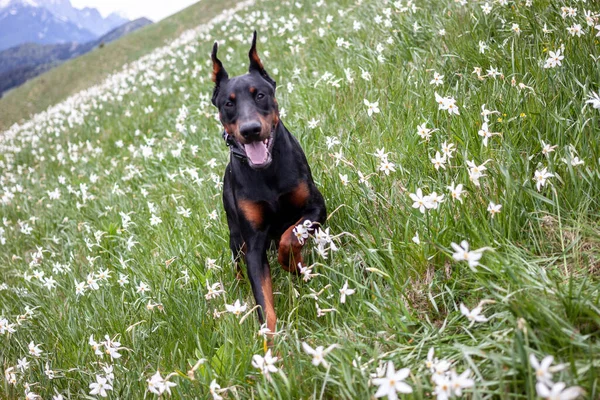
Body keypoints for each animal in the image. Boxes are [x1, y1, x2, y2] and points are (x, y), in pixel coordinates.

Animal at [210, 32, 326, 338]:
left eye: (260, 95)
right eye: (228, 103)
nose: (250, 130)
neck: (267, 172)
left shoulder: (316, 207)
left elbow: (291, 235)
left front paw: (295, 266)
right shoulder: (253, 245)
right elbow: (264, 303)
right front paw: (271, 345)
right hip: (235, 239)